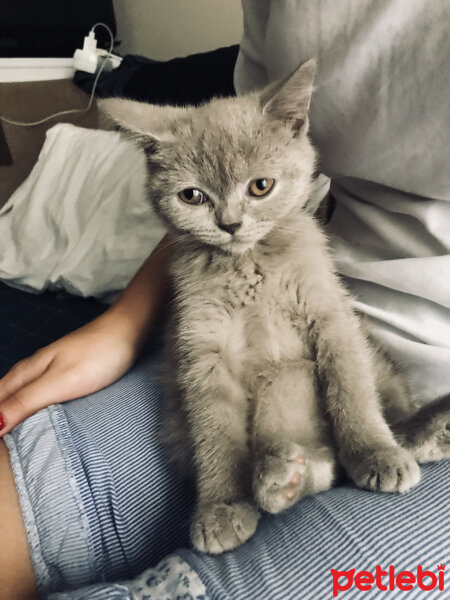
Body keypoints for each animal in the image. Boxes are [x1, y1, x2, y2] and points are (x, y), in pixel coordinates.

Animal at [101, 58, 450, 556]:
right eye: (192, 196)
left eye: (260, 186)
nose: (229, 224)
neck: (249, 267)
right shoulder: (202, 351)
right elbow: (214, 432)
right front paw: (222, 506)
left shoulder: (331, 316)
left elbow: (352, 392)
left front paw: (374, 453)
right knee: (321, 467)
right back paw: (281, 478)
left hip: (377, 364)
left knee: (389, 417)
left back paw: (423, 434)